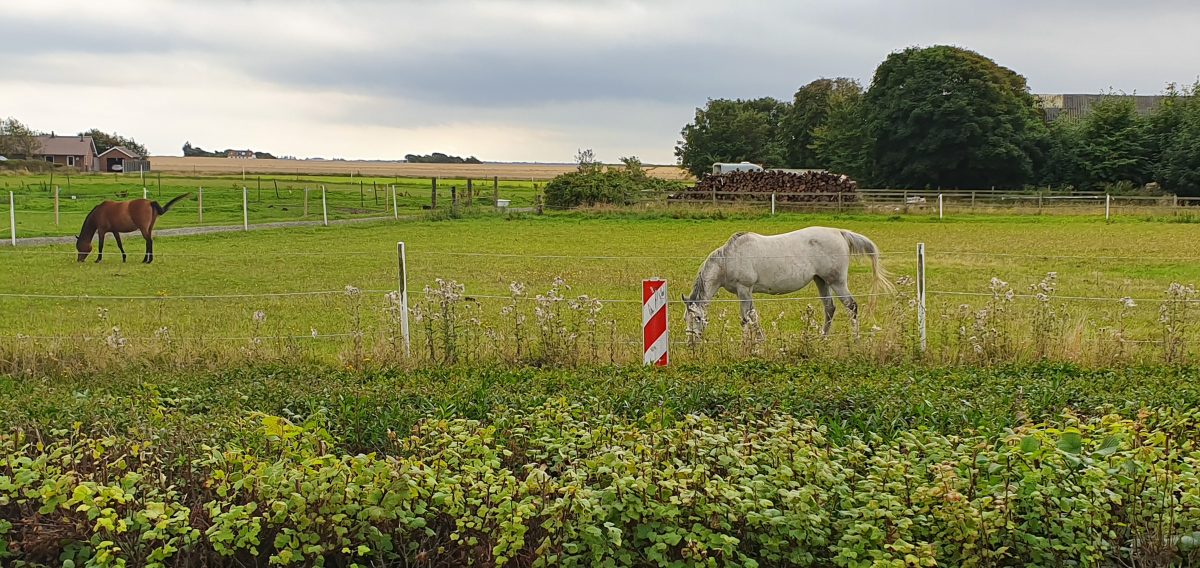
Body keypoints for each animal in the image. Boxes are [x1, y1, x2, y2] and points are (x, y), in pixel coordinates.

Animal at [681, 225, 897, 341]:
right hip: (821, 281)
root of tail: (839, 232)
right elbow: (753, 317)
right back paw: (822, 338)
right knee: (830, 308)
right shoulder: (744, 292)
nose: (691, 341)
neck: (728, 259)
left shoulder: (745, 289)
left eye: (698, 318)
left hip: (837, 282)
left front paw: (748, 345)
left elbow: (746, 318)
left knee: (851, 306)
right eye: (686, 319)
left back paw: (855, 338)